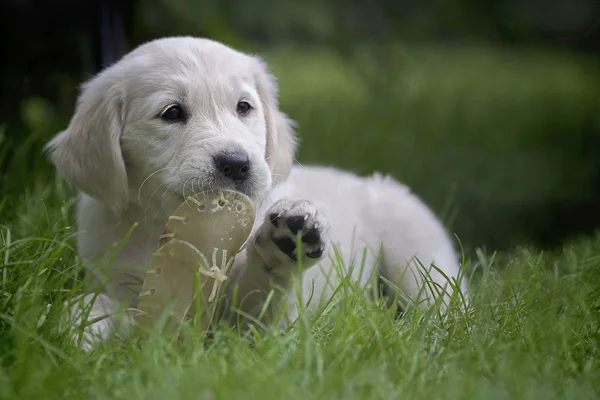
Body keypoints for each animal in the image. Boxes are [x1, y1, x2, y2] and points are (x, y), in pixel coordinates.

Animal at [45, 37, 468, 348]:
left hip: (416, 252)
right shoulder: (122, 280)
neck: (178, 225)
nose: (236, 163)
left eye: (244, 107)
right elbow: (106, 308)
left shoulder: (266, 328)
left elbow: (261, 301)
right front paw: (79, 326)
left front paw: (285, 248)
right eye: (171, 113)